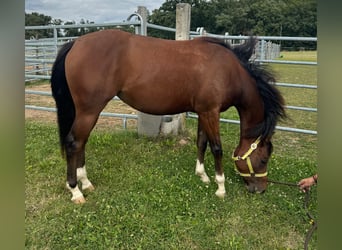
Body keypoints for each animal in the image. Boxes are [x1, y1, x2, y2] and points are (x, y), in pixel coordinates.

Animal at [50, 30, 286, 204]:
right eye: (263, 159)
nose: (260, 189)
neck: (228, 71)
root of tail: (76, 43)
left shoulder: (204, 112)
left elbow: (201, 142)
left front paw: (202, 175)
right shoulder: (211, 112)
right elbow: (217, 148)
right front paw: (221, 187)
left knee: (81, 143)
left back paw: (86, 183)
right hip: (89, 110)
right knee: (74, 143)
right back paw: (76, 191)